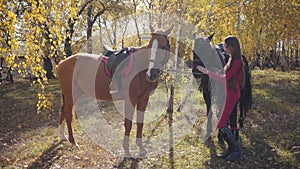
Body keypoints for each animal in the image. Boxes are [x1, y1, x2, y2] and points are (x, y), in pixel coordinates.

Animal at [57, 25, 173, 157]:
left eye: (163, 46)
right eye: (150, 45)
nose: (151, 74)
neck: (140, 67)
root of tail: (61, 63)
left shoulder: (143, 99)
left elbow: (140, 122)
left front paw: (141, 148)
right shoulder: (130, 99)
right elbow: (128, 124)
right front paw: (127, 151)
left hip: (70, 95)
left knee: (63, 111)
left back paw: (63, 136)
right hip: (71, 95)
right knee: (68, 115)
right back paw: (73, 142)